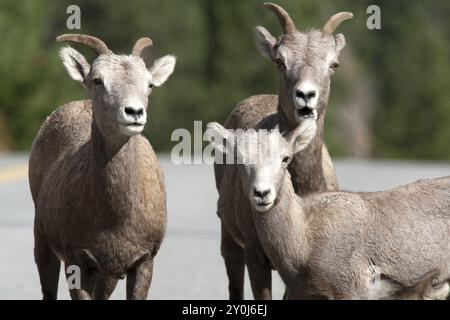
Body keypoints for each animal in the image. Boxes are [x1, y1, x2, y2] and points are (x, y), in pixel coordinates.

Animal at [28, 33, 176, 298]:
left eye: (149, 84)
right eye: (97, 80)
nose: (134, 112)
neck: (114, 218)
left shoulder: (142, 262)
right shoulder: (77, 260)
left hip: (107, 276)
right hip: (43, 244)